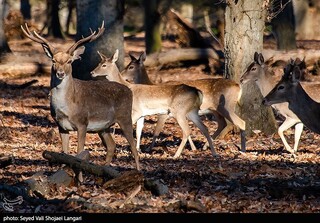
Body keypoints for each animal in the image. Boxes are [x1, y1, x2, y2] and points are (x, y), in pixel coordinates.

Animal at [20, 22, 139, 169]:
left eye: (69, 61)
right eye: (53, 60)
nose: (60, 73)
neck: (67, 107)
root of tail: (129, 90)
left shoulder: (83, 123)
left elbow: (79, 153)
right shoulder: (61, 126)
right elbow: (65, 153)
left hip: (125, 116)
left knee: (133, 147)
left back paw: (138, 170)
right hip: (104, 127)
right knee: (112, 145)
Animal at [91, 49, 219, 159]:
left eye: (104, 65)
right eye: (98, 62)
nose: (92, 72)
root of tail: (198, 92)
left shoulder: (136, 110)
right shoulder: (141, 113)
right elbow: (138, 131)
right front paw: (137, 150)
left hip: (179, 111)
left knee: (187, 130)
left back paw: (176, 155)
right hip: (192, 111)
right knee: (204, 128)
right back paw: (214, 153)